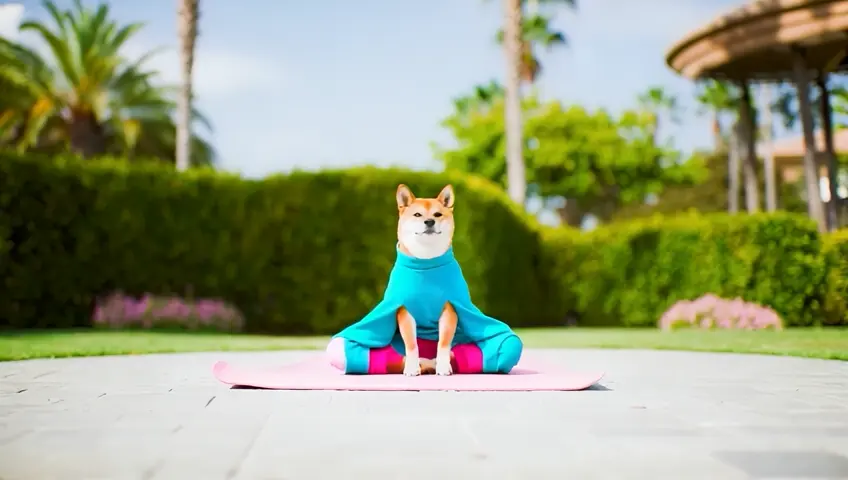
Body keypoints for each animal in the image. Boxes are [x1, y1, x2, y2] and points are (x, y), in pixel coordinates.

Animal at [398, 184, 458, 376]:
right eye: (417, 215)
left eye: (437, 214)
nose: (429, 222)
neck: (426, 261)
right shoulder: (405, 311)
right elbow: (411, 344)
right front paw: (411, 367)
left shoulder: (449, 308)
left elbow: (443, 343)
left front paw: (443, 366)